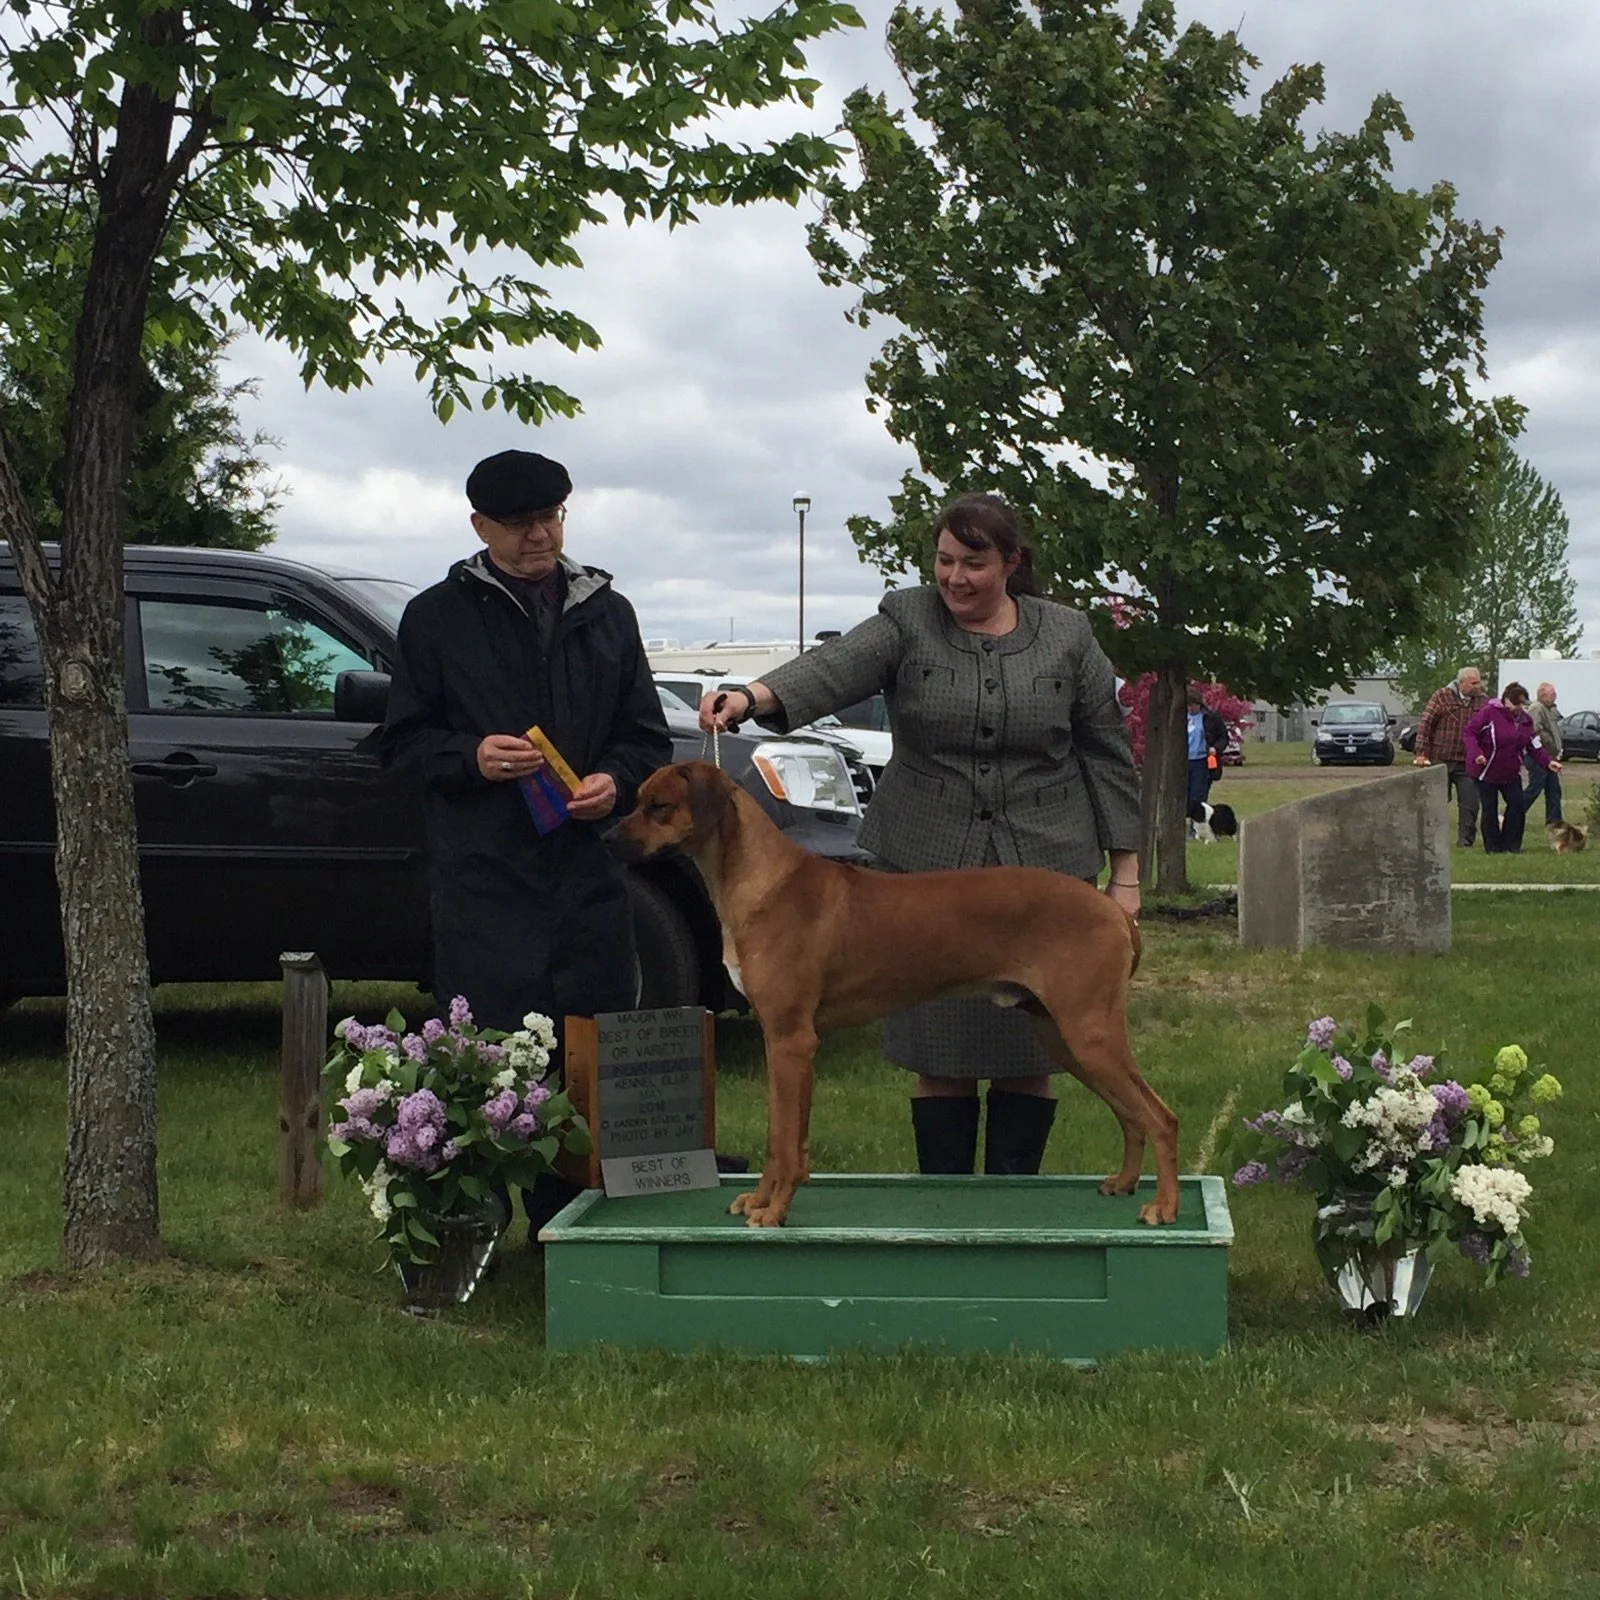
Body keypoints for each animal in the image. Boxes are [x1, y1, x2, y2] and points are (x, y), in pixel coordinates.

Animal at [607, 761, 1179, 1229]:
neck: (763, 882)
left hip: (1088, 1032)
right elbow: (780, 1137)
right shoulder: (780, 1043)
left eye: (659, 807)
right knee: (1132, 1114)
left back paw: (1165, 1206)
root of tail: (1115, 911)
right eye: (637, 800)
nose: (608, 839)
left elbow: (786, 1143)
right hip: (1061, 1035)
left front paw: (775, 1210)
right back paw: (1125, 1182)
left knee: (1160, 1117)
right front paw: (762, 1198)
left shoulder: (793, 1040)